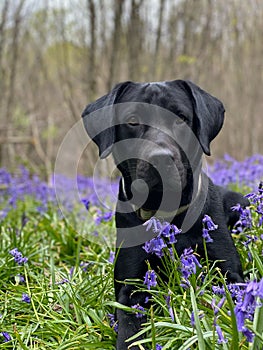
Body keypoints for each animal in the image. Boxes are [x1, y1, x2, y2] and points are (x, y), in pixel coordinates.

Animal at [81, 80, 249, 350]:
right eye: (132, 121)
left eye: (181, 118)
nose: (160, 159)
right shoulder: (131, 287)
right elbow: (129, 330)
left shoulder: (229, 274)